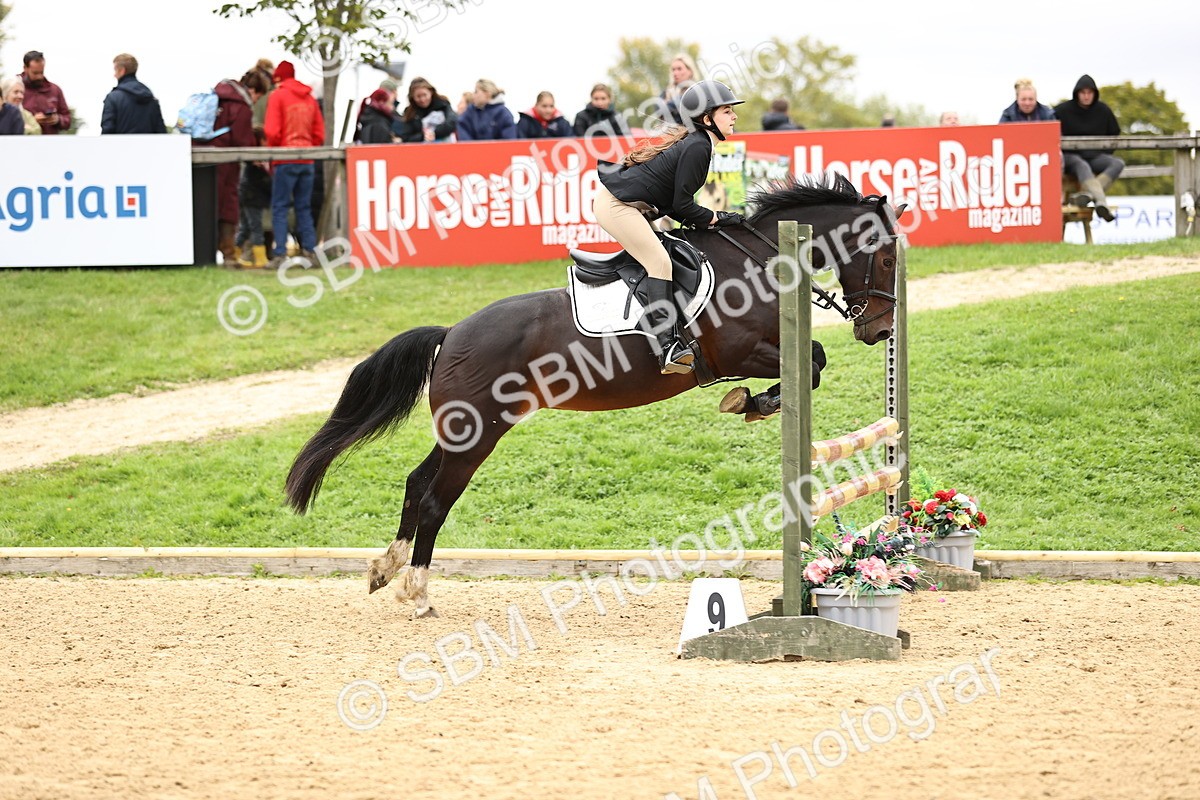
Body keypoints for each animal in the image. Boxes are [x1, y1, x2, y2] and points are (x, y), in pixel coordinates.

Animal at [285, 173, 904, 617]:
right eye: (886, 257)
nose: (880, 331)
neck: (758, 262)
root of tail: (452, 332)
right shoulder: (740, 353)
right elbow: (813, 363)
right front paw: (752, 403)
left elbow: (813, 362)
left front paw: (753, 404)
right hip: (478, 434)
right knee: (436, 500)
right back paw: (417, 593)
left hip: (463, 430)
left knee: (417, 484)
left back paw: (385, 570)